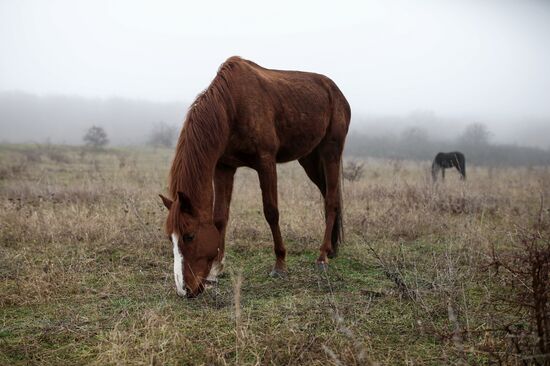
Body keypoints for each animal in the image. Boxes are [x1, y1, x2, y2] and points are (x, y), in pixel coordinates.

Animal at [160, 56, 352, 298]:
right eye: (170, 238)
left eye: (189, 236)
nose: (184, 290)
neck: (231, 107)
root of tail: (337, 92)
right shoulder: (224, 167)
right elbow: (220, 216)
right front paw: (216, 269)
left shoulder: (266, 163)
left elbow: (271, 212)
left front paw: (280, 265)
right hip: (309, 158)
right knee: (328, 195)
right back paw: (332, 249)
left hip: (330, 152)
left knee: (332, 201)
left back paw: (322, 256)